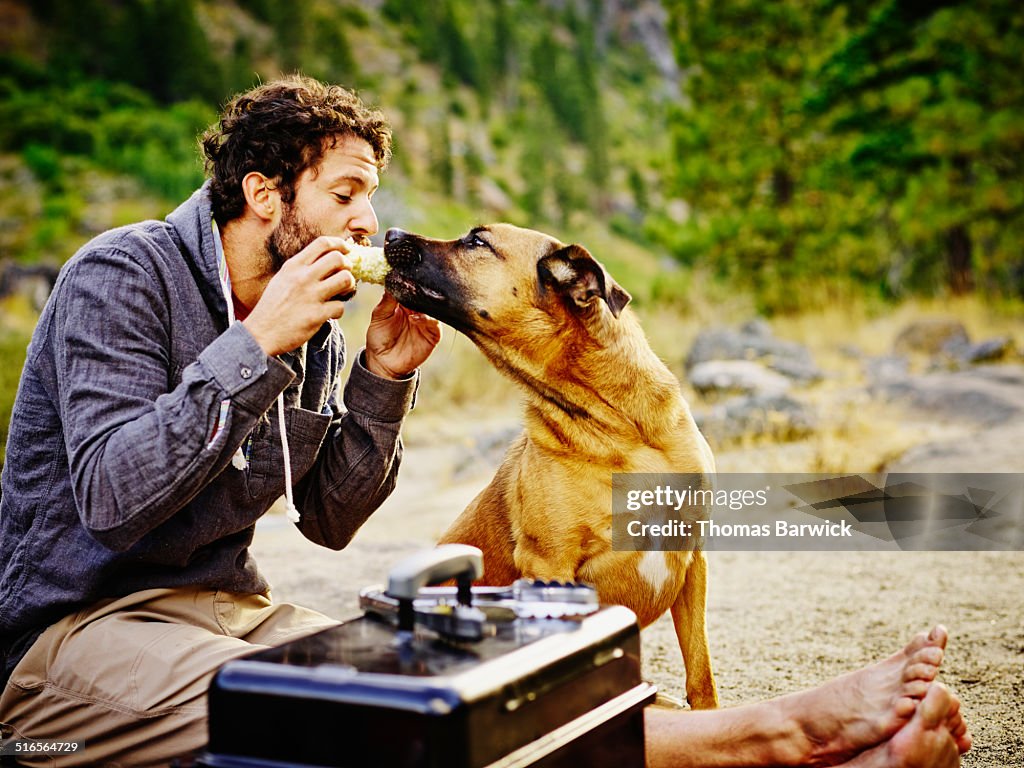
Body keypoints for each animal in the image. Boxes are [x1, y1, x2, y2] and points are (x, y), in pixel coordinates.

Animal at [385, 224, 720, 708]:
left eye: (477, 241)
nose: (389, 233)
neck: (618, 428)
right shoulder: (549, 565)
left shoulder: (693, 558)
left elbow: (701, 673)